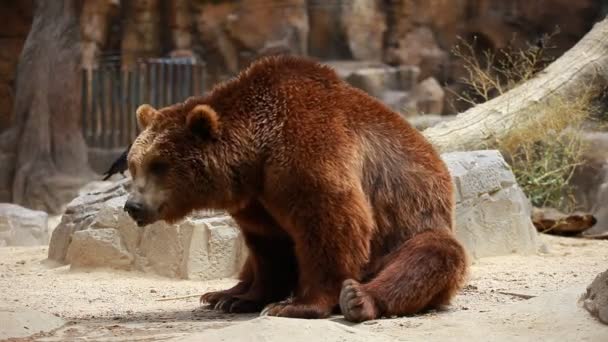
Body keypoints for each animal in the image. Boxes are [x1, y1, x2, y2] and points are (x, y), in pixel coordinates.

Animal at [122, 54, 466, 322]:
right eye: (133, 164)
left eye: (159, 165)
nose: (133, 205)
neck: (256, 154)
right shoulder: (257, 199)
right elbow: (268, 247)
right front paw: (249, 298)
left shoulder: (308, 153)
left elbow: (332, 223)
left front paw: (296, 305)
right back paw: (222, 294)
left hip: (411, 226)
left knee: (431, 255)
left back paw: (358, 297)